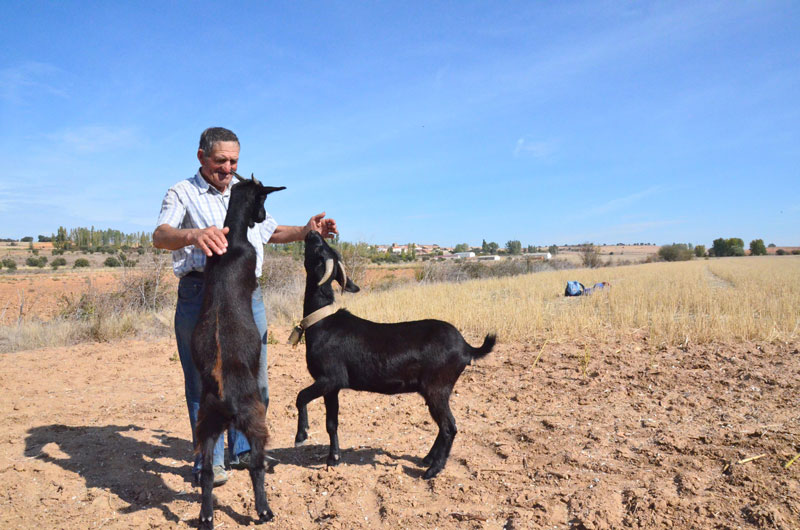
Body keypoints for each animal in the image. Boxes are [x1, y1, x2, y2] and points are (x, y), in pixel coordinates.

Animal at [191, 172, 284, 524]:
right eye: (264, 198)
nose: (262, 217)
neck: (231, 244)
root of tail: (225, 397)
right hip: (255, 417)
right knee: (256, 466)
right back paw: (264, 509)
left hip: (206, 425)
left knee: (205, 473)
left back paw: (206, 517)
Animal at [294, 229, 494, 476]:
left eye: (319, 249)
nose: (312, 231)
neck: (322, 322)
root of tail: (467, 346)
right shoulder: (333, 386)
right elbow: (332, 423)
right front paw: (334, 459)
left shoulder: (329, 378)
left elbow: (300, 397)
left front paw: (301, 436)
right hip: (434, 390)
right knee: (444, 426)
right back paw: (428, 459)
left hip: (438, 387)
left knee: (449, 427)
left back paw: (433, 470)